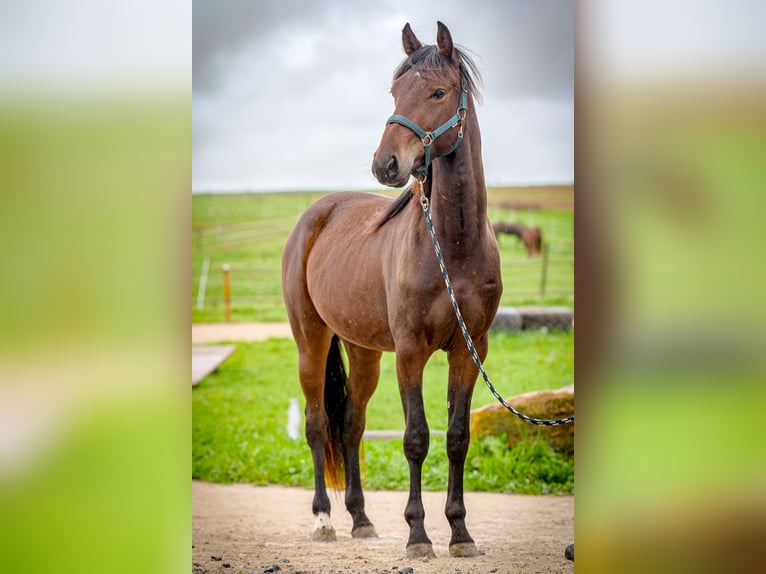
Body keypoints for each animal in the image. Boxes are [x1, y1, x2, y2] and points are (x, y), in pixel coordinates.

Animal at [282, 21, 502, 559]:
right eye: (394, 92)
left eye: (438, 92)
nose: (386, 164)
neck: (453, 246)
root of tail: (316, 215)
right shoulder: (409, 351)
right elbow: (416, 437)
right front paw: (419, 535)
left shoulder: (470, 350)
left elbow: (457, 437)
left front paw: (460, 533)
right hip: (311, 341)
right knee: (318, 425)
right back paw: (324, 519)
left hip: (363, 352)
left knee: (350, 426)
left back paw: (360, 519)